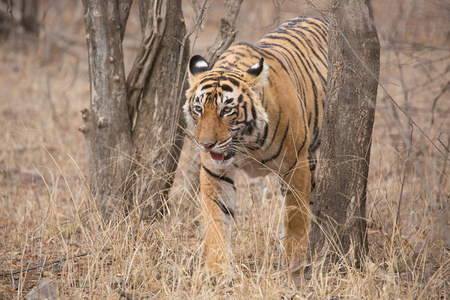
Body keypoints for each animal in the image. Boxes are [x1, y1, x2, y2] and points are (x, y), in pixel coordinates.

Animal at [183, 16, 326, 274]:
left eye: (226, 110)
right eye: (198, 109)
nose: (206, 145)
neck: (246, 144)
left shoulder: (296, 164)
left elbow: (296, 216)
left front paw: (293, 262)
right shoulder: (215, 172)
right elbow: (215, 221)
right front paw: (218, 271)